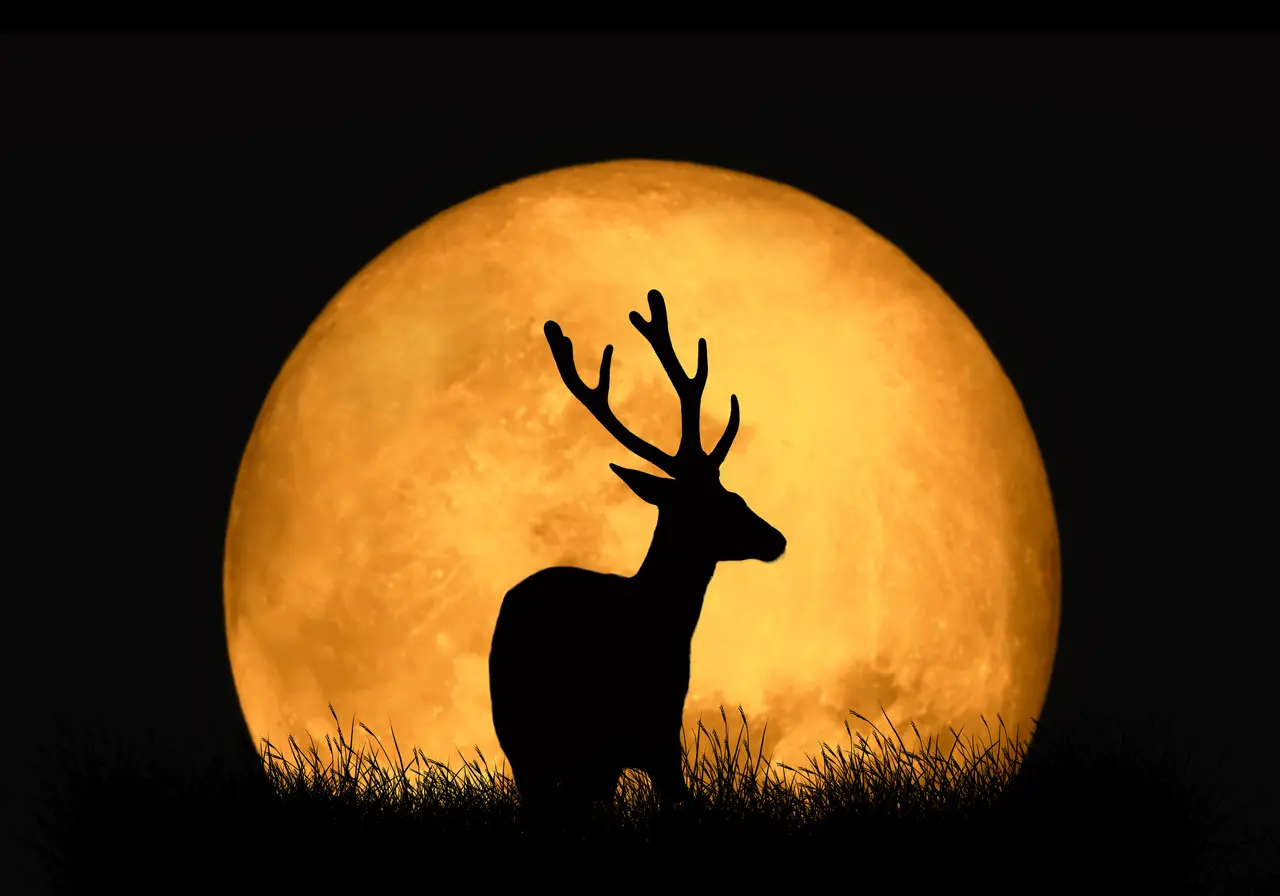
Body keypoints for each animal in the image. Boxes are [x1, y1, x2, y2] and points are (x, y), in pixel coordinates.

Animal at [488, 288, 787, 825]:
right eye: (722, 502)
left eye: (734, 493)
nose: (775, 538)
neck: (659, 622)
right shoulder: (654, 740)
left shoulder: (643, 745)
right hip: (537, 743)